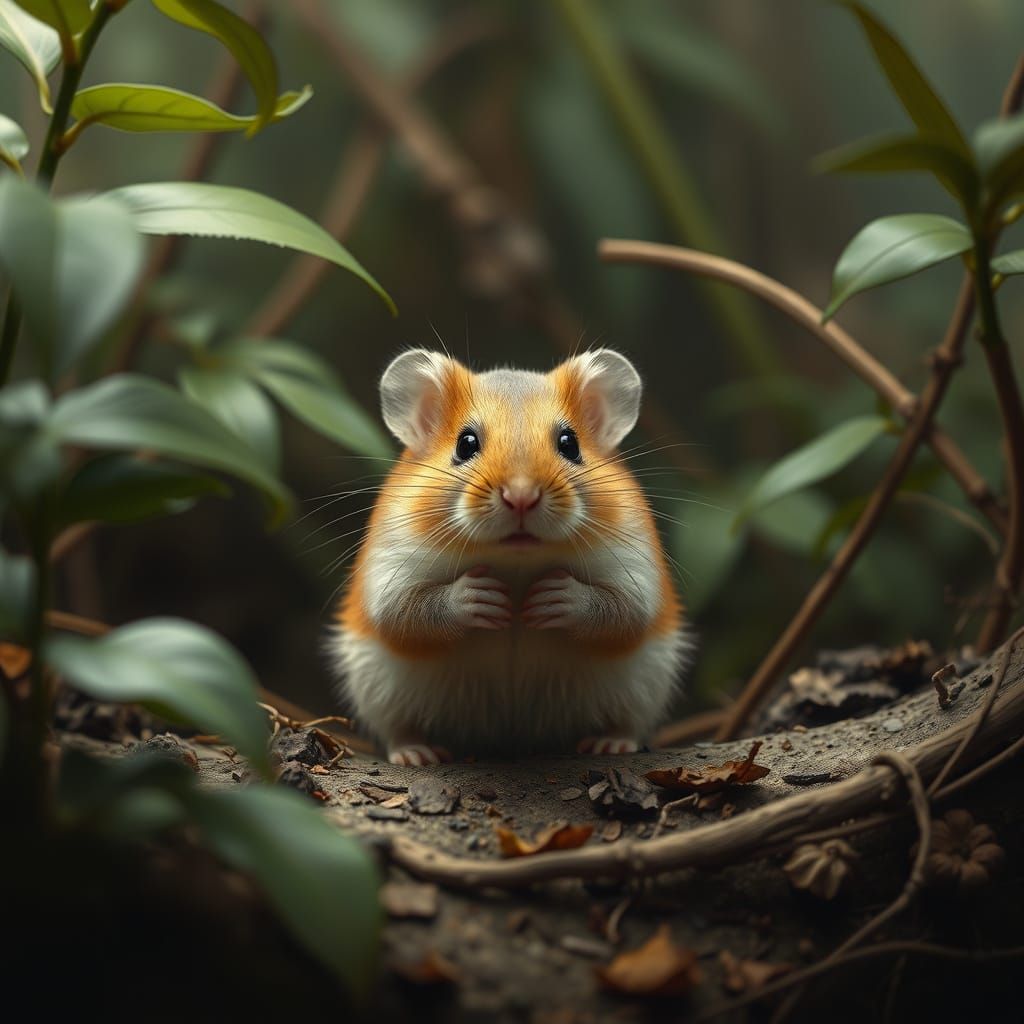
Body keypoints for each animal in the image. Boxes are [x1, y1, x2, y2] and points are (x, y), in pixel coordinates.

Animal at [331, 349, 690, 764]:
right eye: (465, 444)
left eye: (570, 444)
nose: (521, 497)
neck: (517, 560)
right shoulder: (390, 574)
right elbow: (409, 612)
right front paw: (486, 597)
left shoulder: (635, 574)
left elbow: (619, 610)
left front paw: (549, 598)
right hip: (378, 689)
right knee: (398, 730)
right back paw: (416, 753)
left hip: (645, 685)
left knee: (626, 724)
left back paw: (610, 744)